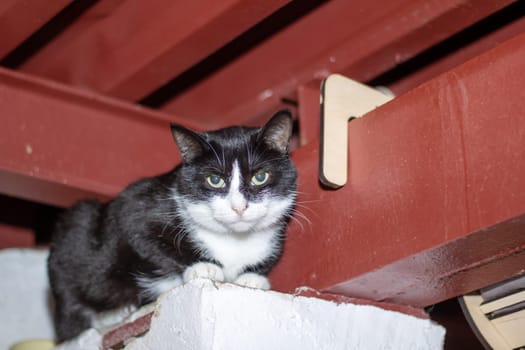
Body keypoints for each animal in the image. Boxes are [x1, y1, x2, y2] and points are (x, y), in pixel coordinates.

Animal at [48, 110, 298, 342]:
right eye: (214, 180)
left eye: (260, 176)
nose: (239, 207)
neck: (235, 239)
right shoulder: (133, 211)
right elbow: (151, 245)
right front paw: (203, 266)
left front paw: (252, 278)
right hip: (76, 229)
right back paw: (110, 314)